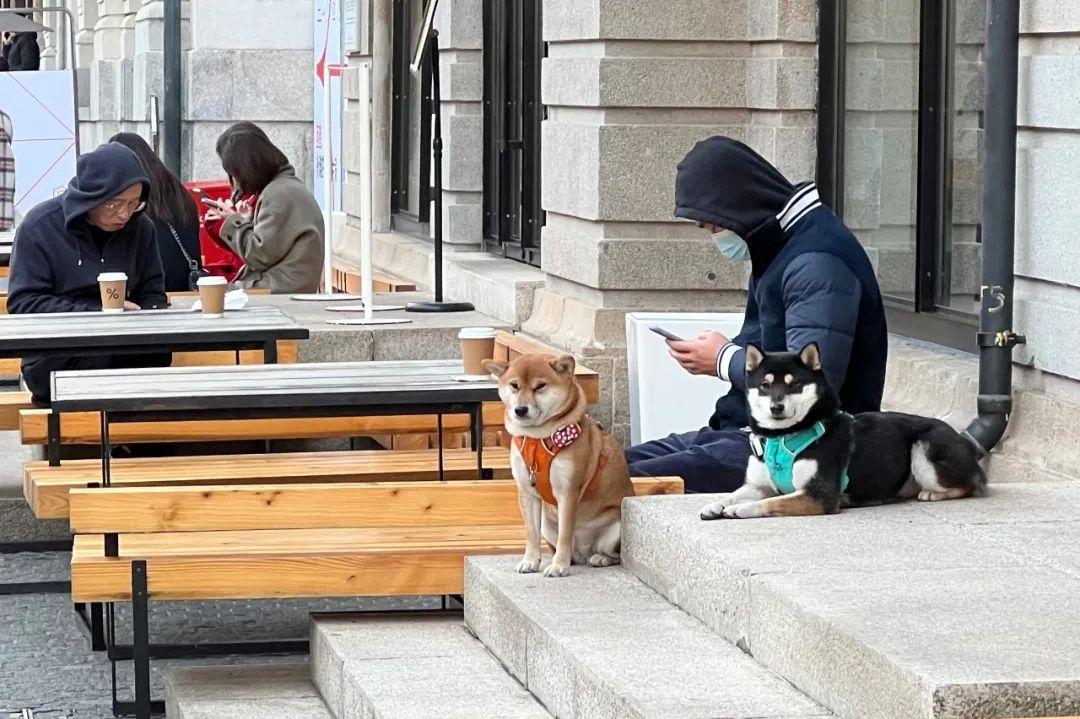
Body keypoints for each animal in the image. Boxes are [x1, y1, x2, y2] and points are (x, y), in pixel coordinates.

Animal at [483, 354, 635, 577]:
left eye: (540, 386)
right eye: (514, 385)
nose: (520, 410)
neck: (538, 438)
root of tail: (582, 553)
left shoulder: (568, 491)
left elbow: (566, 533)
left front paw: (558, 566)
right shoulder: (527, 492)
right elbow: (531, 532)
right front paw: (530, 561)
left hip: (615, 527)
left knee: (616, 555)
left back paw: (598, 559)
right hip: (547, 525)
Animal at [700, 342, 986, 520]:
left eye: (795, 385)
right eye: (765, 385)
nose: (776, 407)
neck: (781, 437)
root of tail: (966, 442)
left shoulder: (819, 494)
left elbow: (769, 503)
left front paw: (742, 509)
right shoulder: (758, 484)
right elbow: (733, 495)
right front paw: (715, 505)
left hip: (924, 449)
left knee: (971, 485)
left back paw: (935, 493)